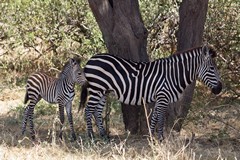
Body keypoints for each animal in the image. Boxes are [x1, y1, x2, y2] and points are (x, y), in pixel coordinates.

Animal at [79, 44, 222, 140]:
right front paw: (160, 139)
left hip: (103, 91)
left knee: (97, 111)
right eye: (212, 68)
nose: (220, 88)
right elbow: (161, 119)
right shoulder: (163, 96)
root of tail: (91, 59)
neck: (173, 75)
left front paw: (151, 137)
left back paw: (104, 136)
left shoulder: (159, 98)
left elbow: (154, 117)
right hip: (96, 88)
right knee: (88, 110)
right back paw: (91, 136)